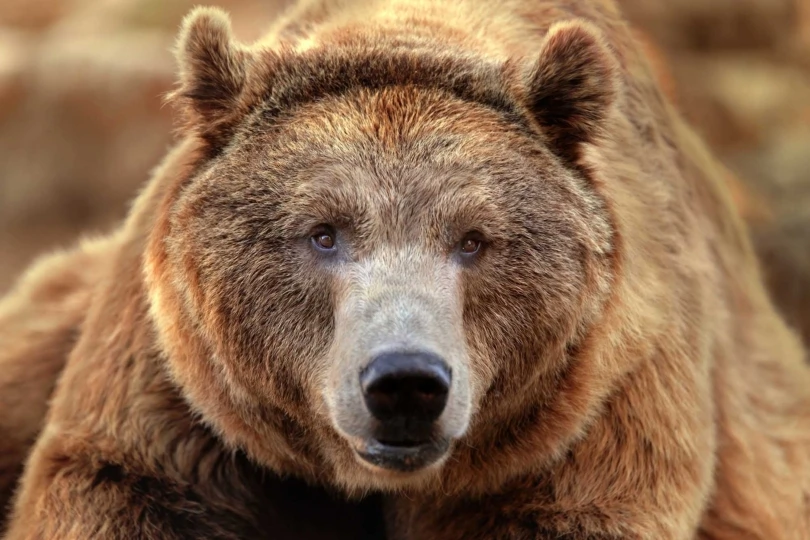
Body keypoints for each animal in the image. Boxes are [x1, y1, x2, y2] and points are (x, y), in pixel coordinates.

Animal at [2, 0, 810, 539]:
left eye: (475, 239)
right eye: (323, 233)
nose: (405, 383)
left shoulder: (601, 408)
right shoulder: (179, 395)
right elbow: (121, 481)